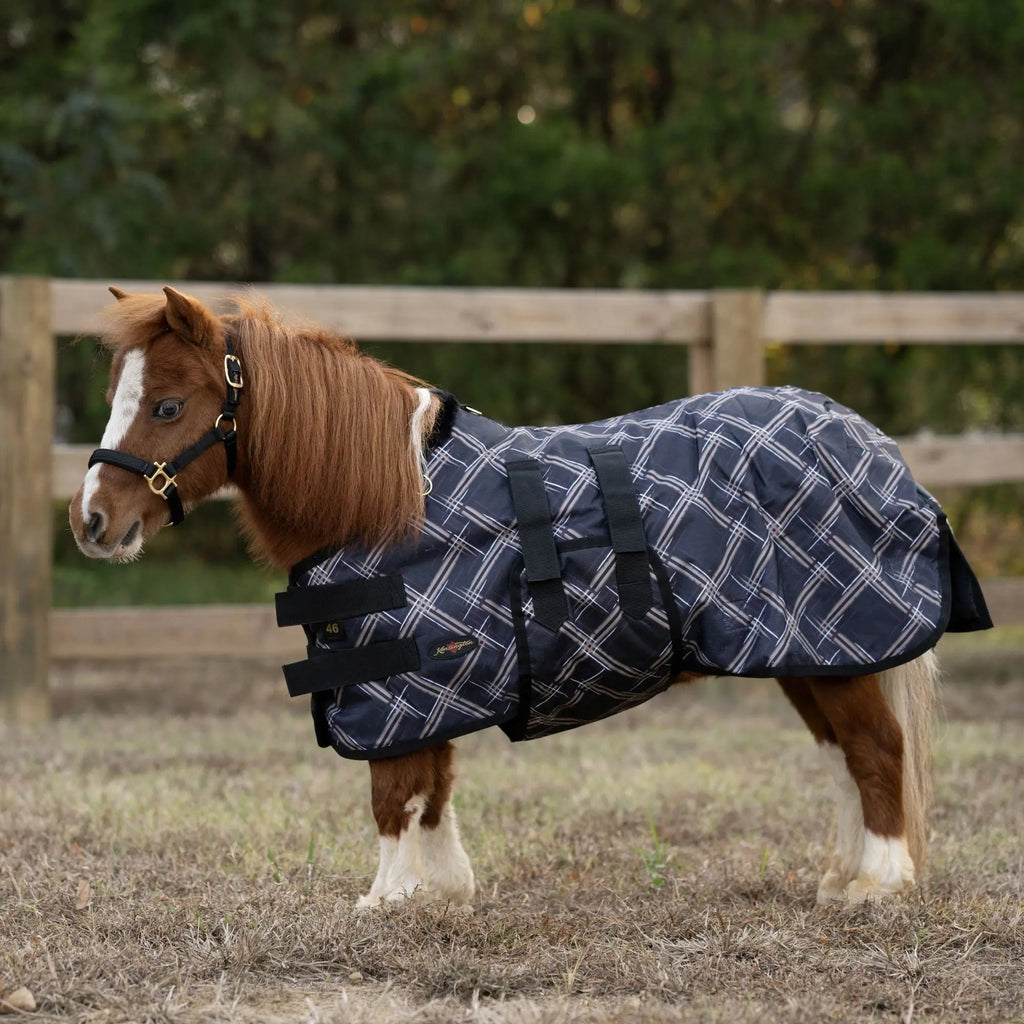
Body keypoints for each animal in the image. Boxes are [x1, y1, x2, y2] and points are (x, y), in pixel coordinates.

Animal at [69, 286, 991, 911]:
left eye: (168, 404)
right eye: (117, 397)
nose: (91, 521)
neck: (384, 498)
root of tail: (870, 443)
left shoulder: (402, 680)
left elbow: (393, 791)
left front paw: (387, 898)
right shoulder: (426, 685)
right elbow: (432, 783)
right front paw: (441, 891)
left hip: (836, 649)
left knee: (876, 751)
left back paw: (879, 885)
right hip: (806, 654)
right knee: (843, 756)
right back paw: (842, 876)